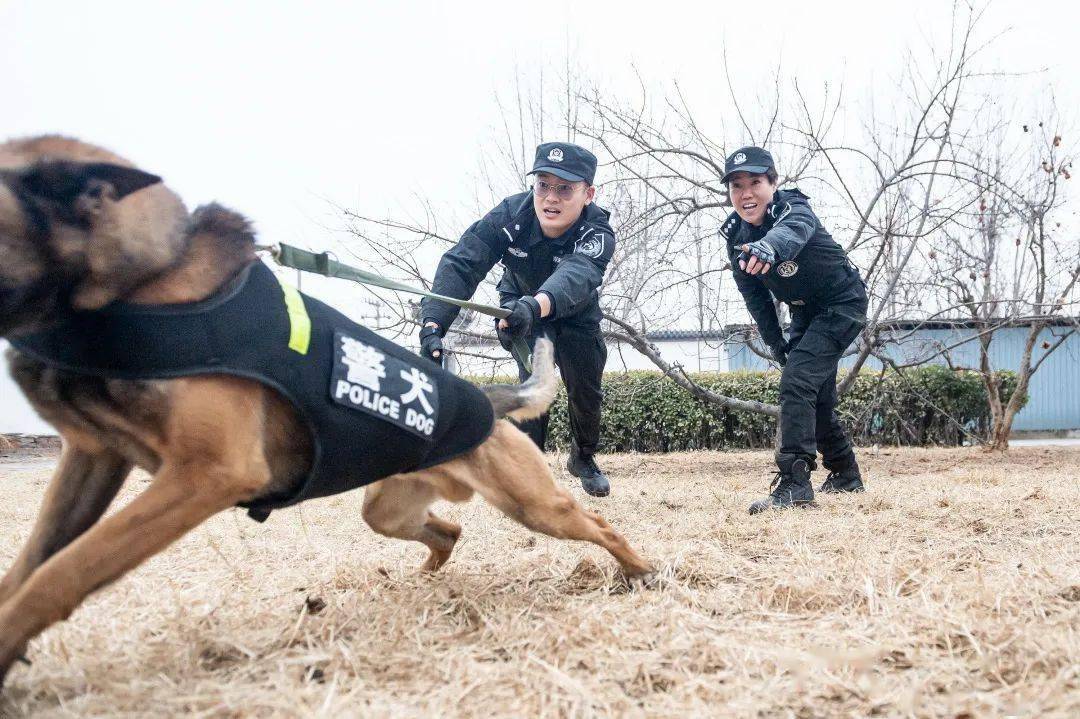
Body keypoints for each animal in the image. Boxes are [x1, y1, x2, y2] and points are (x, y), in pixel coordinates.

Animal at [0, 136, 656, 682]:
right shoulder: (94, 459)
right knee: (449, 529)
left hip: (534, 505)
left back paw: (638, 569)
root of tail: (487, 399)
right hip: (388, 509)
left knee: (596, 524)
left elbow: (62, 571)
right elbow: (32, 564)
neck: (143, 287)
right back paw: (423, 584)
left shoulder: (204, 475)